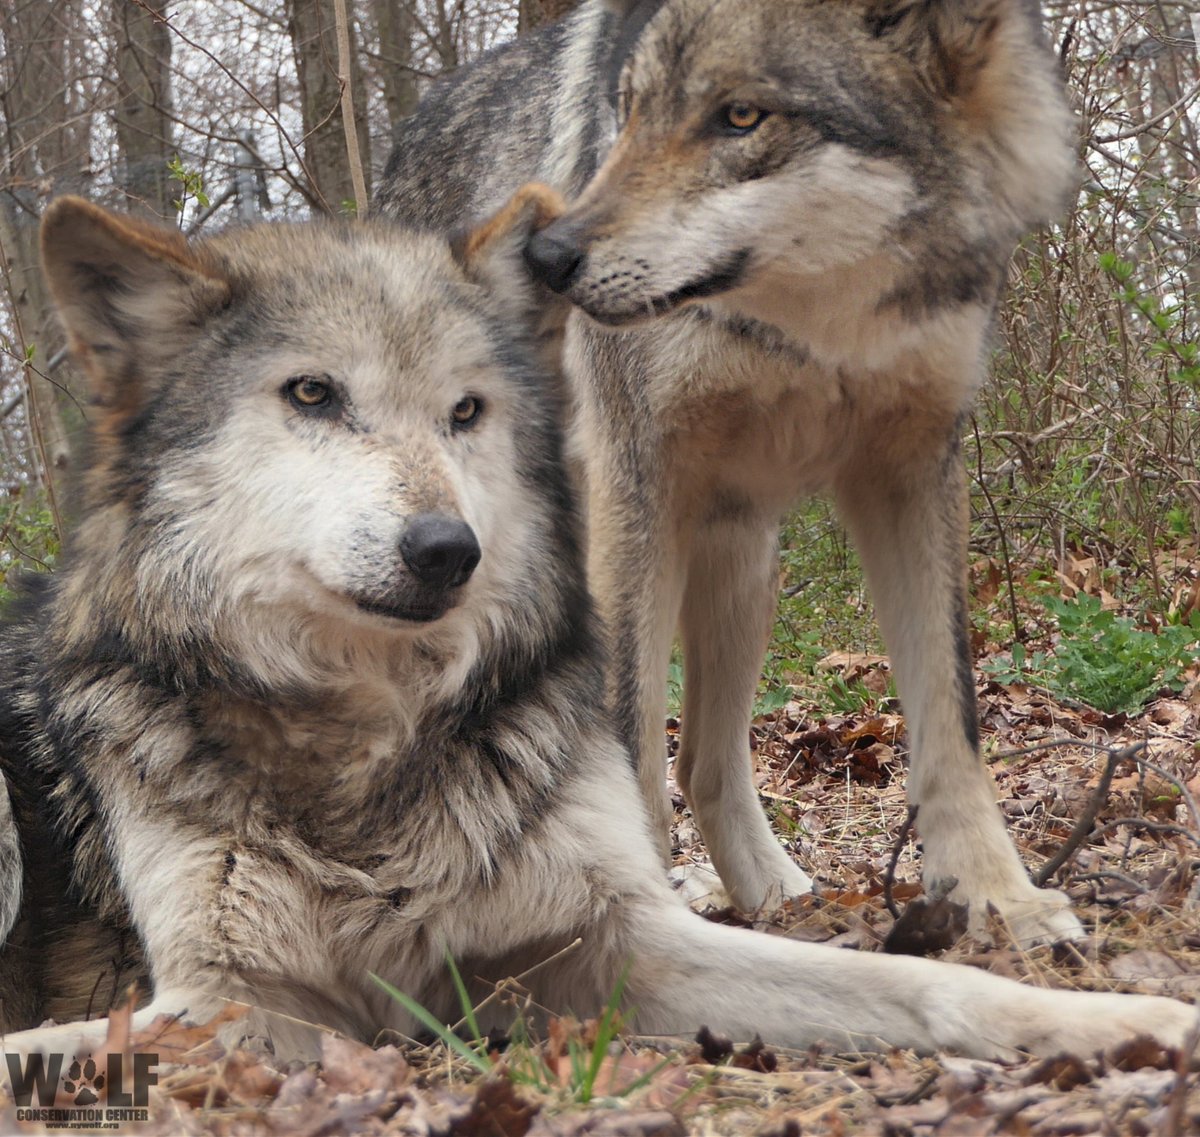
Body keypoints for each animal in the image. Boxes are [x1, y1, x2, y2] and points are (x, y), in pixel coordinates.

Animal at [0, 195, 1194, 1072]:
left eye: (468, 412)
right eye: (310, 395)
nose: (449, 550)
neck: (371, 755)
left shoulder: (619, 945)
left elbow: (918, 980)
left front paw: (1115, 1022)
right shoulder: (233, 998)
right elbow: (96, 1036)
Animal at [377, 0, 1086, 946]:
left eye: (741, 117)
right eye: (629, 110)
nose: (545, 258)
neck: (813, 325)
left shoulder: (913, 469)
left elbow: (952, 715)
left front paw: (1000, 898)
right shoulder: (635, 483)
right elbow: (627, 730)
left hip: (744, 558)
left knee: (705, 764)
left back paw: (774, 895)